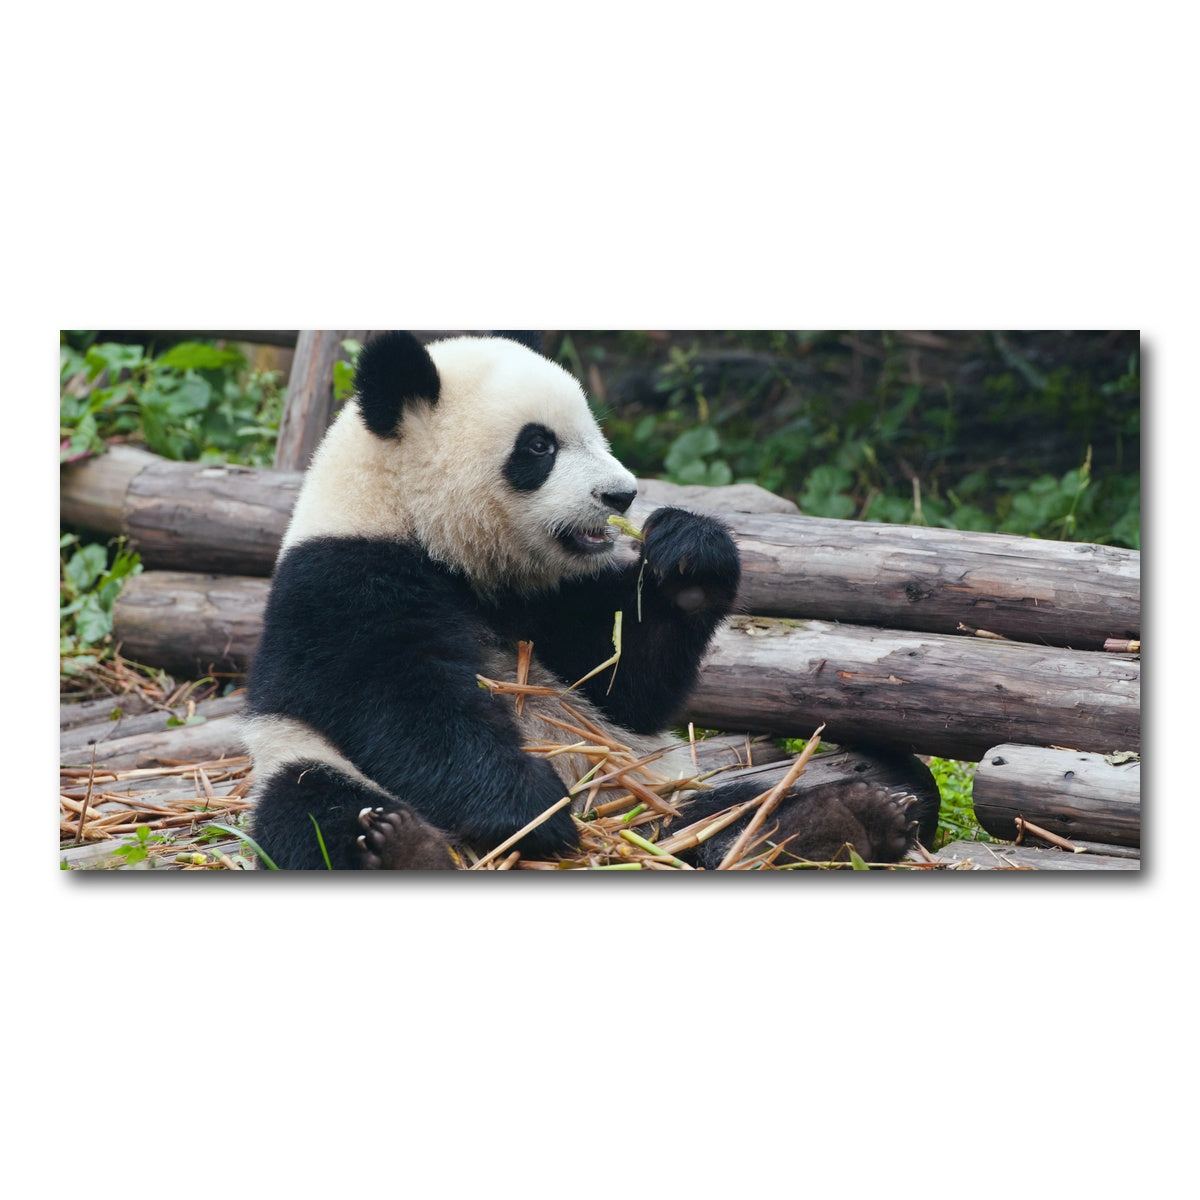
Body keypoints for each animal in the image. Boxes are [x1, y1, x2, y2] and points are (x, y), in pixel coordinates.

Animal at [242, 331, 925, 870]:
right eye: (539, 446)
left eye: (594, 432)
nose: (621, 495)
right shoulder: (341, 581)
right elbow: (404, 702)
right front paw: (530, 809)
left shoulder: (545, 597)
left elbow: (622, 680)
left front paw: (689, 557)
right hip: (297, 757)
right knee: (314, 807)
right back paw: (402, 848)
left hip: (652, 787)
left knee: (737, 805)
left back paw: (836, 821)